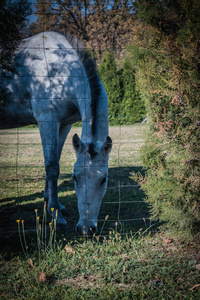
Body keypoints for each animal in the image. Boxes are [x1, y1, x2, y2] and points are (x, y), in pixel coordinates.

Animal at [0, 31, 112, 236]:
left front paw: (53, 207)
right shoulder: (47, 120)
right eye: (75, 177)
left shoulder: (64, 124)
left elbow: (56, 162)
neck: (60, 71)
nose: (86, 229)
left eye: (103, 179)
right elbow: (52, 167)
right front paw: (56, 217)